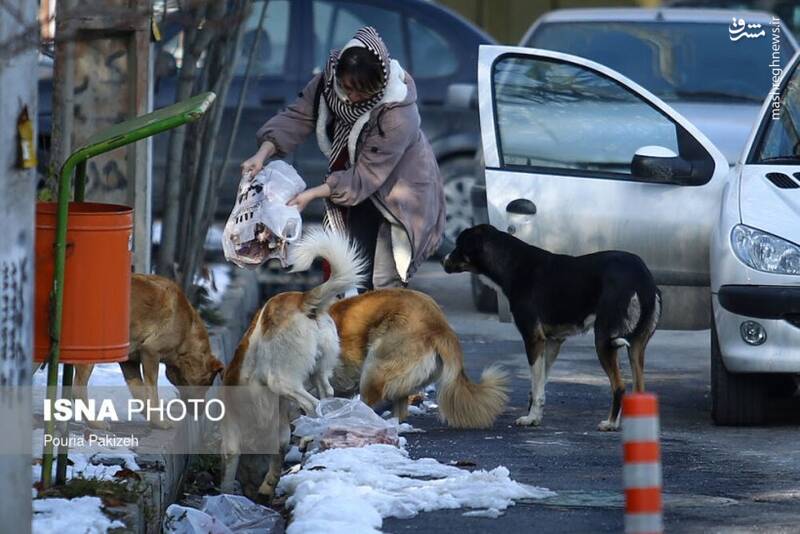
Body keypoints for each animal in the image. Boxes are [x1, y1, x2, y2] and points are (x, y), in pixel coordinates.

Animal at [74, 276, 225, 432]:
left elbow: (140, 393)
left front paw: (153, 420)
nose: (201, 412)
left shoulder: (130, 362)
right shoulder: (151, 352)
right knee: (77, 391)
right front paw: (160, 422)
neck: (187, 331)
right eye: (207, 385)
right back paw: (95, 423)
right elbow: (152, 393)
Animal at [222, 230, 366, 502]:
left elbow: (230, 461)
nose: (253, 495)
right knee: (326, 396)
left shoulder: (233, 432)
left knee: (313, 405)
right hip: (317, 372)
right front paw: (269, 484)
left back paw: (310, 435)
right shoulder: (277, 427)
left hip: (281, 380)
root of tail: (302, 299)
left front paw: (224, 494)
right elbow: (278, 451)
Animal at [440, 225, 660, 432]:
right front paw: (535, 417)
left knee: (619, 386)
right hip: (636, 346)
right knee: (639, 387)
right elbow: (540, 385)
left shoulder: (533, 339)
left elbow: (536, 385)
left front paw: (530, 418)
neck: (513, 264)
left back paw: (611, 423)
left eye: (459, 244)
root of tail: (642, 278)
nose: (442, 260)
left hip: (604, 339)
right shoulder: (553, 342)